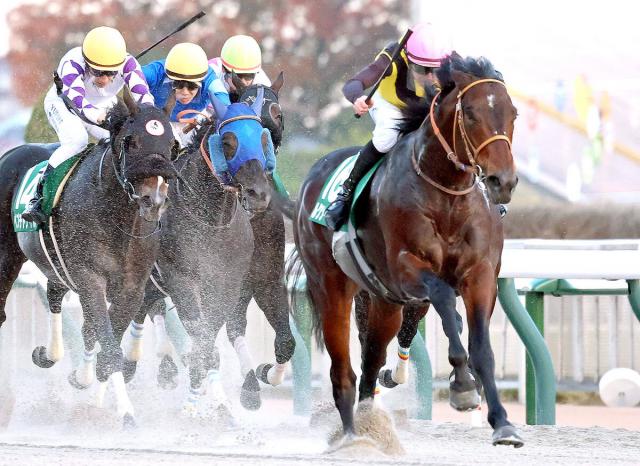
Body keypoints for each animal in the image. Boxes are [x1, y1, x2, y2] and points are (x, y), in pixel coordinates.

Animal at [0, 100, 176, 427]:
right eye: (131, 141)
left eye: (172, 144)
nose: (154, 199)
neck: (115, 214)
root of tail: (11, 152)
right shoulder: (90, 278)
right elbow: (105, 340)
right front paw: (126, 413)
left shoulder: (132, 288)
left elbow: (104, 340)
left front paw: (90, 387)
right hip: (7, 257)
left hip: (55, 264)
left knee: (54, 295)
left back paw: (49, 354)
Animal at [291, 52, 523, 448]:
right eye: (470, 113)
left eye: (513, 113)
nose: (501, 181)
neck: (447, 196)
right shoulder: (405, 270)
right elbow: (443, 297)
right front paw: (462, 385)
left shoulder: (480, 276)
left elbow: (482, 347)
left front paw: (502, 423)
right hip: (331, 286)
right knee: (344, 371)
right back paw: (352, 437)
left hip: (383, 302)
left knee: (370, 363)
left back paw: (369, 422)